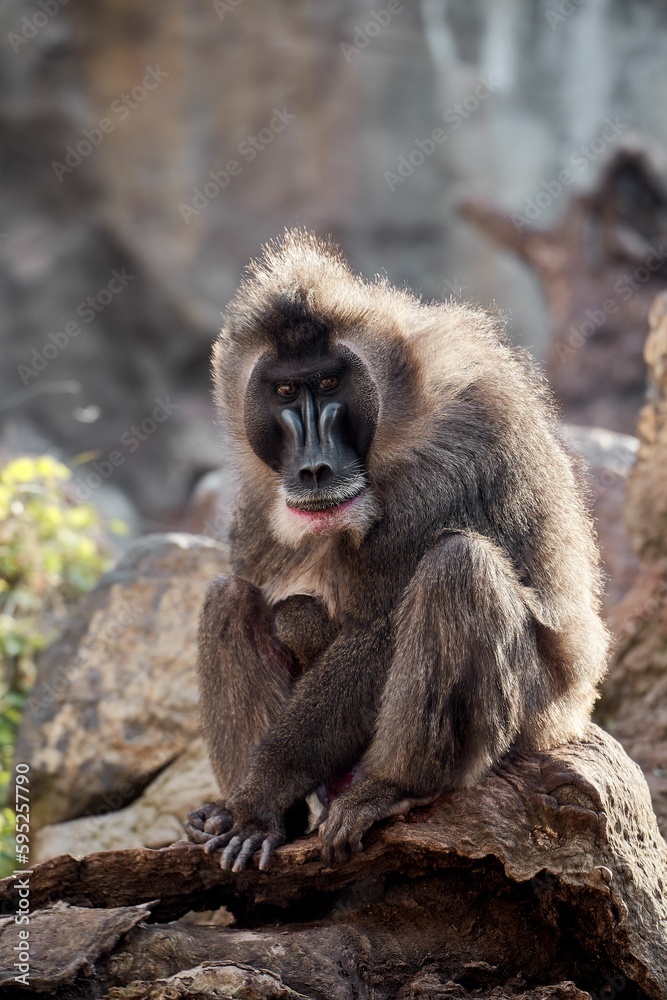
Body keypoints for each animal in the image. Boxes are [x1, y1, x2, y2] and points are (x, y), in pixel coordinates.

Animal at [185, 228, 610, 872]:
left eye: (329, 384)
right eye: (285, 390)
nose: (313, 468)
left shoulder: (448, 462)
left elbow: (379, 628)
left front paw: (257, 802)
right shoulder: (257, 502)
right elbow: (254, 593)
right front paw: (254, 809)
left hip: (533, 720)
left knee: (459, 566)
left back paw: (394, 788)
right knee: (229, 599)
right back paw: (285, 821)